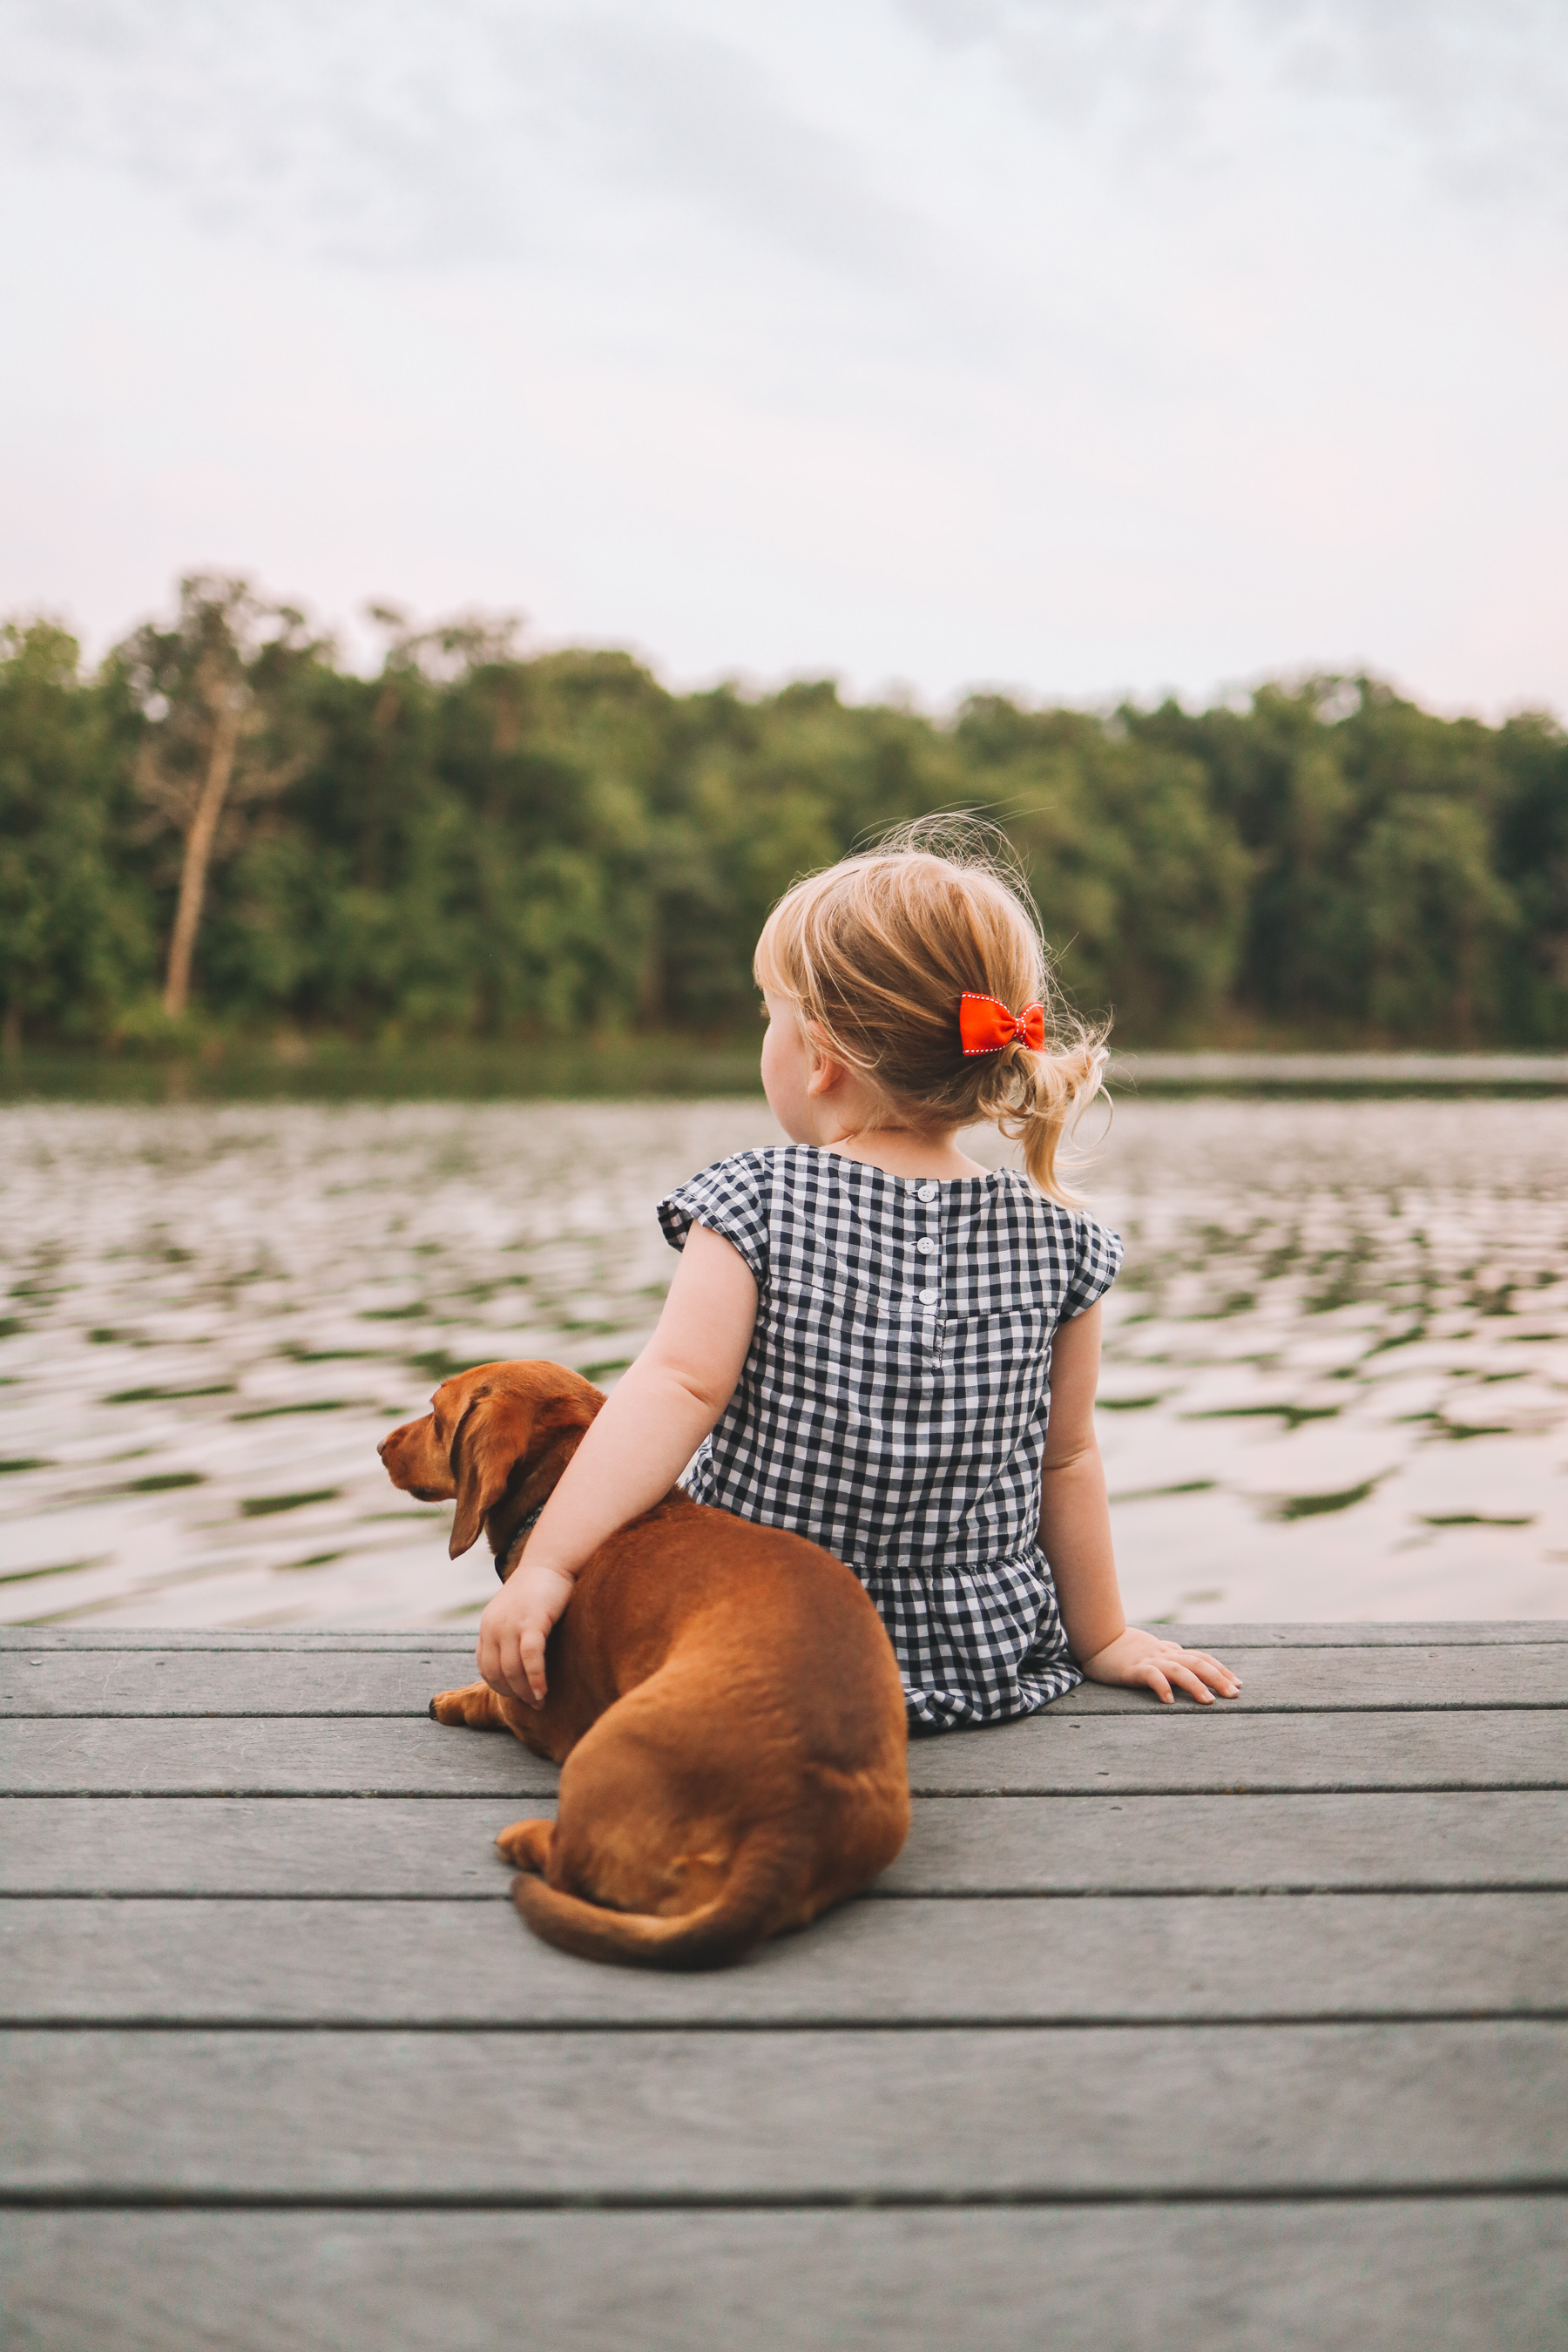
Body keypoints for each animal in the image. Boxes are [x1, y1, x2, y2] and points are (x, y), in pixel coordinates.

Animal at [381, 1364, 912, 1966]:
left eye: (435, 1413)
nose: (380, 1447)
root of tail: (791, 1825)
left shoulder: (539, 1712)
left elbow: (496, 1696)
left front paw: (456, 1700)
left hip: (593, 1754)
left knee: (566, 1865)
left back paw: (522, 1838)